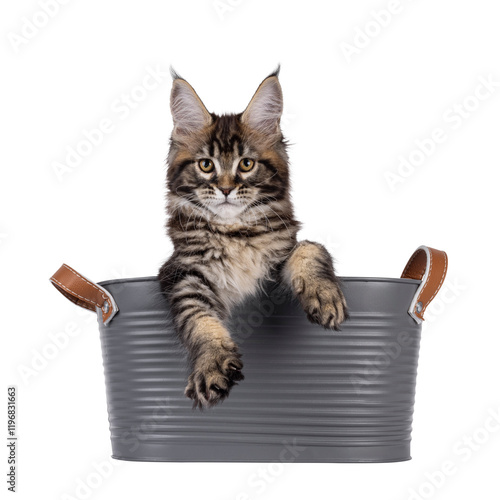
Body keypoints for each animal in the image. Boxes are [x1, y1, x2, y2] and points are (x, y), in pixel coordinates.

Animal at [160, 68, 348, 408]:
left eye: (246, 164)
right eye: (206, 165)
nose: (225, 188)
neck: (235, 232)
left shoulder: (279, 258)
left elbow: (310, 249)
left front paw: (324, 294)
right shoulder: (181, 272)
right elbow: (199, 317)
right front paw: (211, 363)